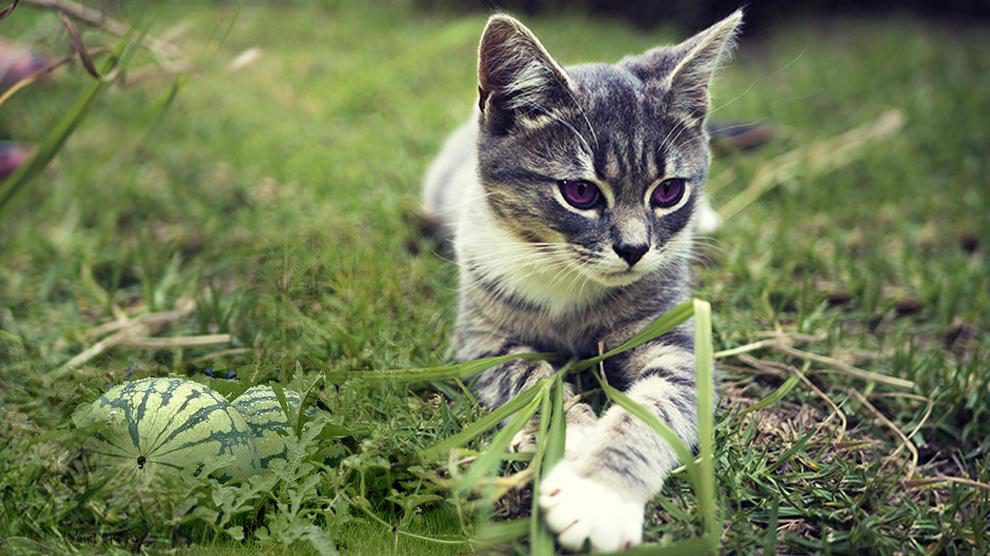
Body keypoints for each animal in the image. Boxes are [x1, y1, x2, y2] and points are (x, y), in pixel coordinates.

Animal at [420, 9, 744, 552]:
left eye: (669, 192)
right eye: (579, 193)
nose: (634, 250)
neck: (571, 281)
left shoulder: (678, 335)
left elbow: (659, 403)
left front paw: (598, 494)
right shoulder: (483, 337)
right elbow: (533, 381)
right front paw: (572, 437)